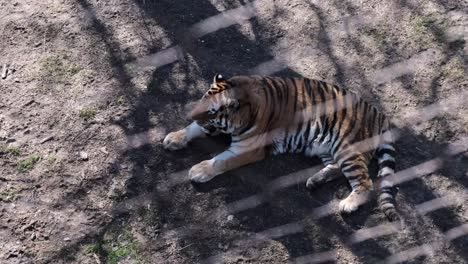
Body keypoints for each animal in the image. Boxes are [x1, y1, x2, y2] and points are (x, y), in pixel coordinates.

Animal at [162, 73, 398, 220]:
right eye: (203, 99)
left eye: (211, 111)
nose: (190, 113)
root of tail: (378, 114)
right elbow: (193, 129)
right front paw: (175, 138)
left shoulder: (248, 149)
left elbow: (221, 161)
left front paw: (199, 170)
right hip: (326, 148)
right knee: (337, 169)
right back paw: (314, 181)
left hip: (347, 148)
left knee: (365, 182)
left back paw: (348, 204)